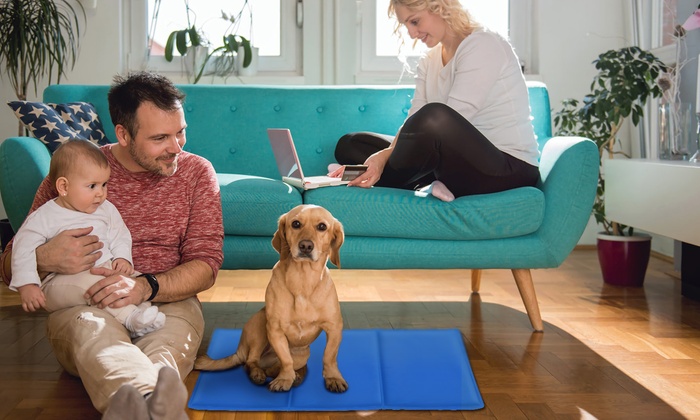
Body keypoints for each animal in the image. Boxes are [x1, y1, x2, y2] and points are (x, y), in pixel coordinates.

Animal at [196, 205, 348, 392]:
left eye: (322, 227)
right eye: (296, 224)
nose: (306, 246)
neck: (302, 281)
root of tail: (240, 351)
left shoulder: (334, 328)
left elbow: (329, 356)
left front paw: (333, 377)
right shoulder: (275, 329)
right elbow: (286, 360)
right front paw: (284, 379)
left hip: (303, 354)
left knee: (276, 368)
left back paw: (296, 376)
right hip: (261, 324)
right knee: (251, 362)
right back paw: (259, 374)